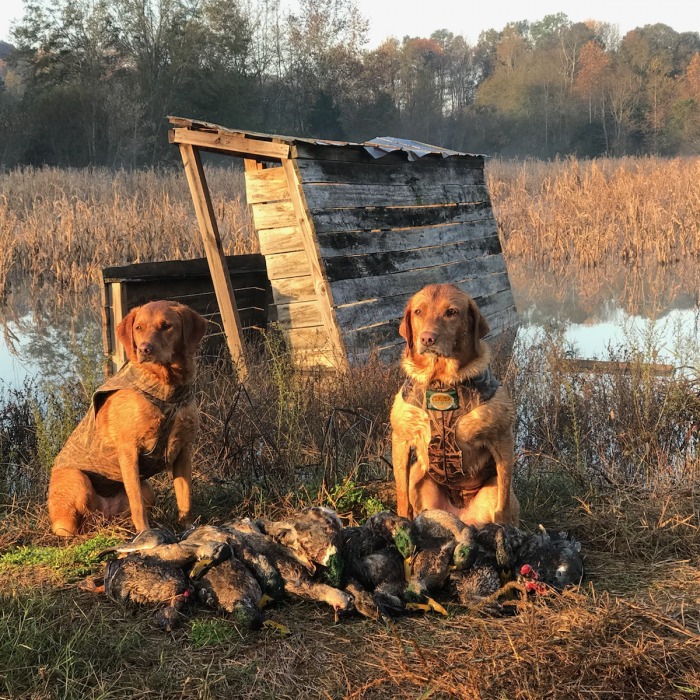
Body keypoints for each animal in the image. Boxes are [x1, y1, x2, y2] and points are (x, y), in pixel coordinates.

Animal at [47, 300, 207, 536]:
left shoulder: (184, 450)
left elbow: (185, 497)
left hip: (148, 490)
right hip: (77, 480)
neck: (167, 388)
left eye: (166, 326)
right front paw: (145, 533)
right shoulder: (129, 450)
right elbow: (137, 504)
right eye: (138, 328)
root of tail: (104, 516)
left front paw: (189, 528)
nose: (144, 349)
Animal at [390, 284, 519, 527]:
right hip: (418, 474)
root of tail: (459, 515)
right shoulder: (401, 439)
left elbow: (504, 502)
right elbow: (402, 496)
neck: (441, 383)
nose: (427, 339)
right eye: (418, 312)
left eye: (451, 312)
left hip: (493, 489)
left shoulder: (503, 439)